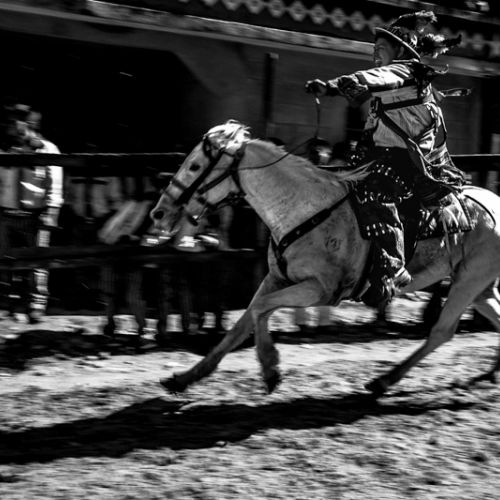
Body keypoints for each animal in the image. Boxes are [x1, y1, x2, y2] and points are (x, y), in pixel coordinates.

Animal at [150, 120, 500, 394]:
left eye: (195, 166)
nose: (159, 213)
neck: (304, 209)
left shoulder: (319, 289)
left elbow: (261, 310)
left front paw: (271, 368)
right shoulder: (277, 278)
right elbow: (243, 322)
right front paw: (186, 377)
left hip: (469, 280)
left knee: (442, 331)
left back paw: (384, 381)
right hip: (479, 285)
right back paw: (489, 372)